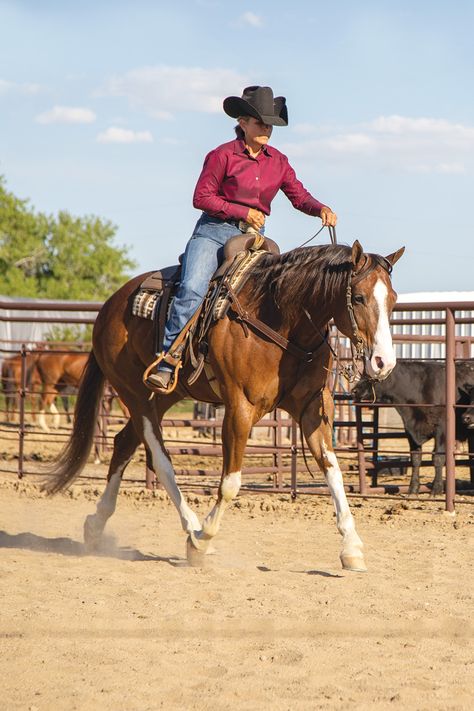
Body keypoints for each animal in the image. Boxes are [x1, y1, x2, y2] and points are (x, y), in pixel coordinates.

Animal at [45, 241, 404, 572]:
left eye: (393, 299)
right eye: (358, 298)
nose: (383, 363)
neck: (281, 319)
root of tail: (109, 306)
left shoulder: (313, 407)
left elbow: (333, 470)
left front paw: (352, 548)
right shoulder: (240, 408)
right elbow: (231, 483)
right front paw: (202, 540)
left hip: (162, 396)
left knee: (123, 444)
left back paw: (96, 525)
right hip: (135, 393)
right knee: (159, 458)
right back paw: (192, 528)